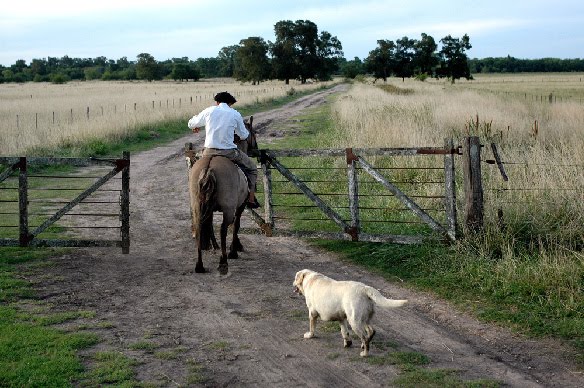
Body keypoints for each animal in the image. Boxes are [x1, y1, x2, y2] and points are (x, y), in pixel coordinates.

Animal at [189, 116, 258, 274]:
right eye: (253, 134)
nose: (256, 149)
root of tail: (209, 168)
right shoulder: (240, 206)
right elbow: (236, 225)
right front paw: (234, 250)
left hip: (197, 206)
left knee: (199, 227)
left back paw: (199, 265)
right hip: (228, 209)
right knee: (223, 229)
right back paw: (224, 260)